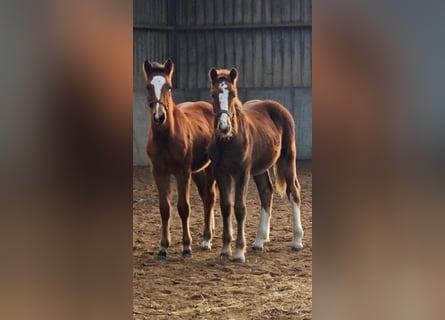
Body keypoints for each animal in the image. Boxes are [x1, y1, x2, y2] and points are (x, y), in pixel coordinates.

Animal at [143, 59, 216, 258]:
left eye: (169, 86)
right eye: (148, 86)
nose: (159, 117)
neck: (166, 137)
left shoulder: (182, 172)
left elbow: (184, 207)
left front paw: (186, 247)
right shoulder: (159, 172)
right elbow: (164, 208)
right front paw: (163, 247)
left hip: (209, 168)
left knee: (210, 197)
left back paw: (207, 239)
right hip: (197, 171)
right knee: (205, 197)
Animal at [207, 67, 302, 262]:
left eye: (233, 94)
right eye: (213, 94)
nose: (224, 127)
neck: (228, 141)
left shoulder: (242, 173)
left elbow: (240, 208)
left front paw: (238, 252)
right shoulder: (220, 172)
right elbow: (226, 207)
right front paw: (225, 249)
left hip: (287, 159)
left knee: (294, 191)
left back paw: (297, 240)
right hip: (260, 169)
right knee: (266, 192)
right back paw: (259, 241)